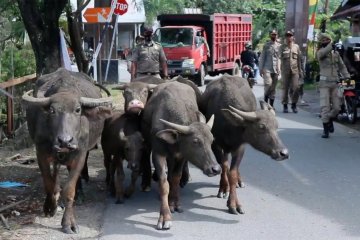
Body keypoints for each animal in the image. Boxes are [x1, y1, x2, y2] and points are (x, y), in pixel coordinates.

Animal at [21, 68, 112, 233]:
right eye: (52, 110)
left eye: (78, 110)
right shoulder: (41, 153)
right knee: (56, 171)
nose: (65, 140)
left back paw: (80, 193)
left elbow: (69, 190)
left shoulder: (80, 154)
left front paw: (68, 223)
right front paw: (50, 207)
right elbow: (49, 184)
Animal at [141, 81, 221, 230]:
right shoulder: (158, 153)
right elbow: (164, 183)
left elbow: (176, 178)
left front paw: (175, 203)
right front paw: (165, 217)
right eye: (195, 141)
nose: (216, 169)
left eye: (211, 140)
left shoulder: (182, 156)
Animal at [200, 74, 290, 214]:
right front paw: (223, 189)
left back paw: (239, 181)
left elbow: (232, 173)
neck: (229, 126)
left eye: (276, 126)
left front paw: (234, 204)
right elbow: (224, 167)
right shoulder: (215, 144)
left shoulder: (240, 147)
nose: (283, 153)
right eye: (261, 127)